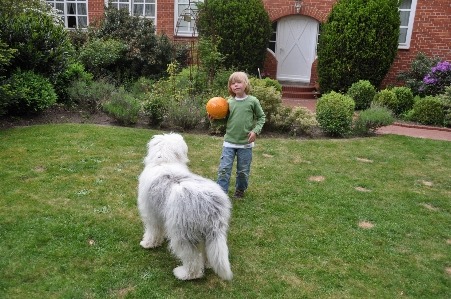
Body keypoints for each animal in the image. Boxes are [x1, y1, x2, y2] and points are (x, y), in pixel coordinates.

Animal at [138, 134, 233, 282]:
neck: (165, 161)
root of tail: (210, 205)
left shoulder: (151, 214)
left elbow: (153, 232)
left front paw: (148, 243)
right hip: (209, 233)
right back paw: (208, 264)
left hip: (183, 234)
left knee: (192, 260)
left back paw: (184, 274)